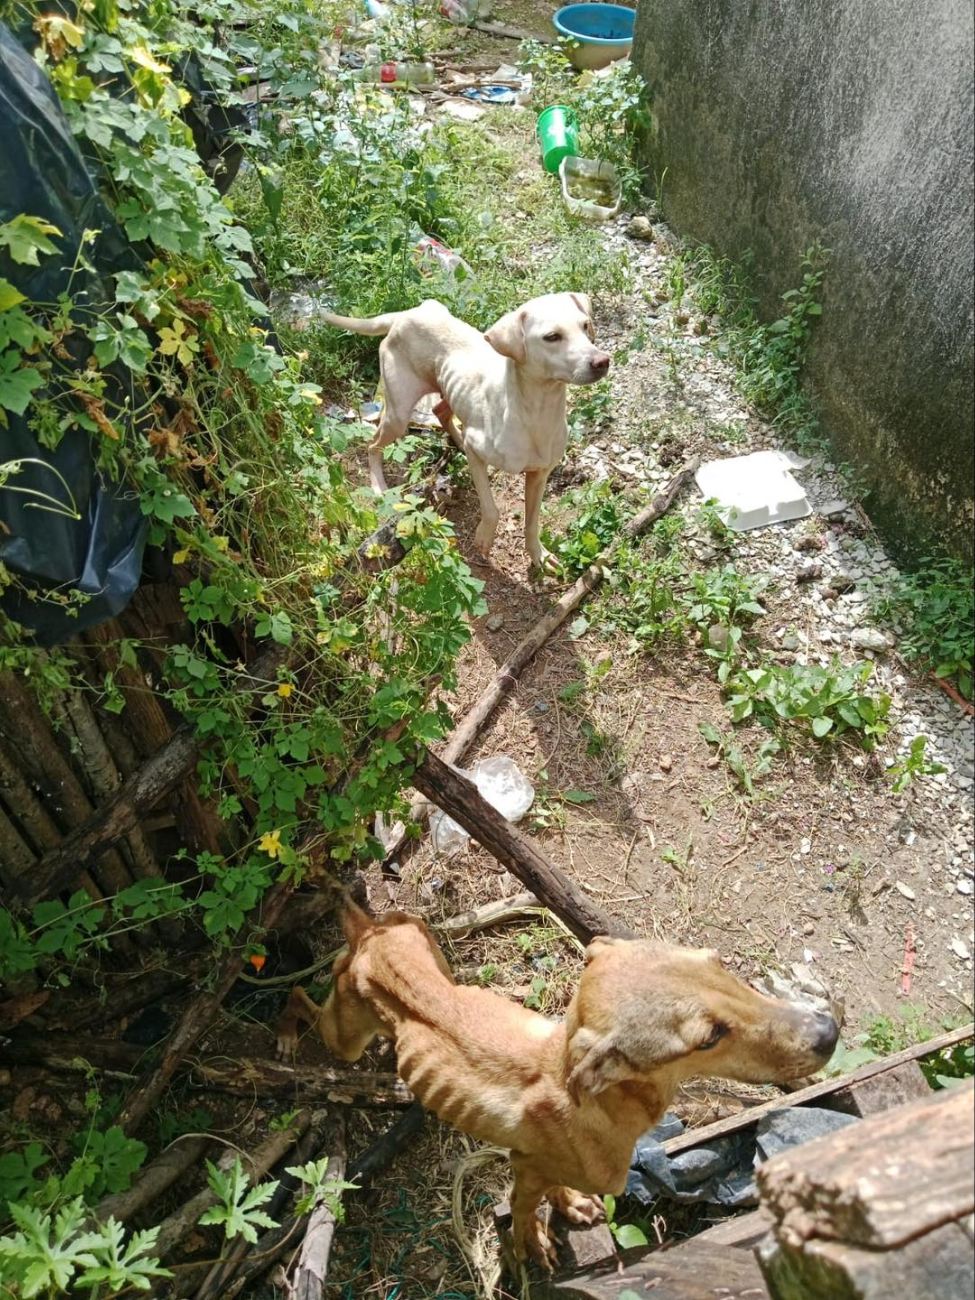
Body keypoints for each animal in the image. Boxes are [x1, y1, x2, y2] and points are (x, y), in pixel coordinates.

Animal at [276, 909, 842, 1263]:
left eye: (718, 962)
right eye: (709, 1037)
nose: (829, 1032)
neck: (606, 1105)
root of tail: (366, 934)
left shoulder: (543, 1162)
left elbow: (558, 1189)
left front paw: (572, 1206)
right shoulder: (524, 1168)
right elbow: (527, 1208)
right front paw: (534, 1245)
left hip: (433, 955)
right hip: (343, 1037)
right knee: (299, 993)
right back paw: (283, 1035)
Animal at [325, 299, 608, 574]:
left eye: (585, 325)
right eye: (552, 337)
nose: (602, 361)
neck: (537, 412)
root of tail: (406, 314)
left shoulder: (540, 474)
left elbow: (532, 521)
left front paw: (539, 555)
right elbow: (492, 509)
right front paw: (484, 539)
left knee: (441, 413)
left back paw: (460, 442)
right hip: (398, 415)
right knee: (372, 444)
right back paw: (379, 484)